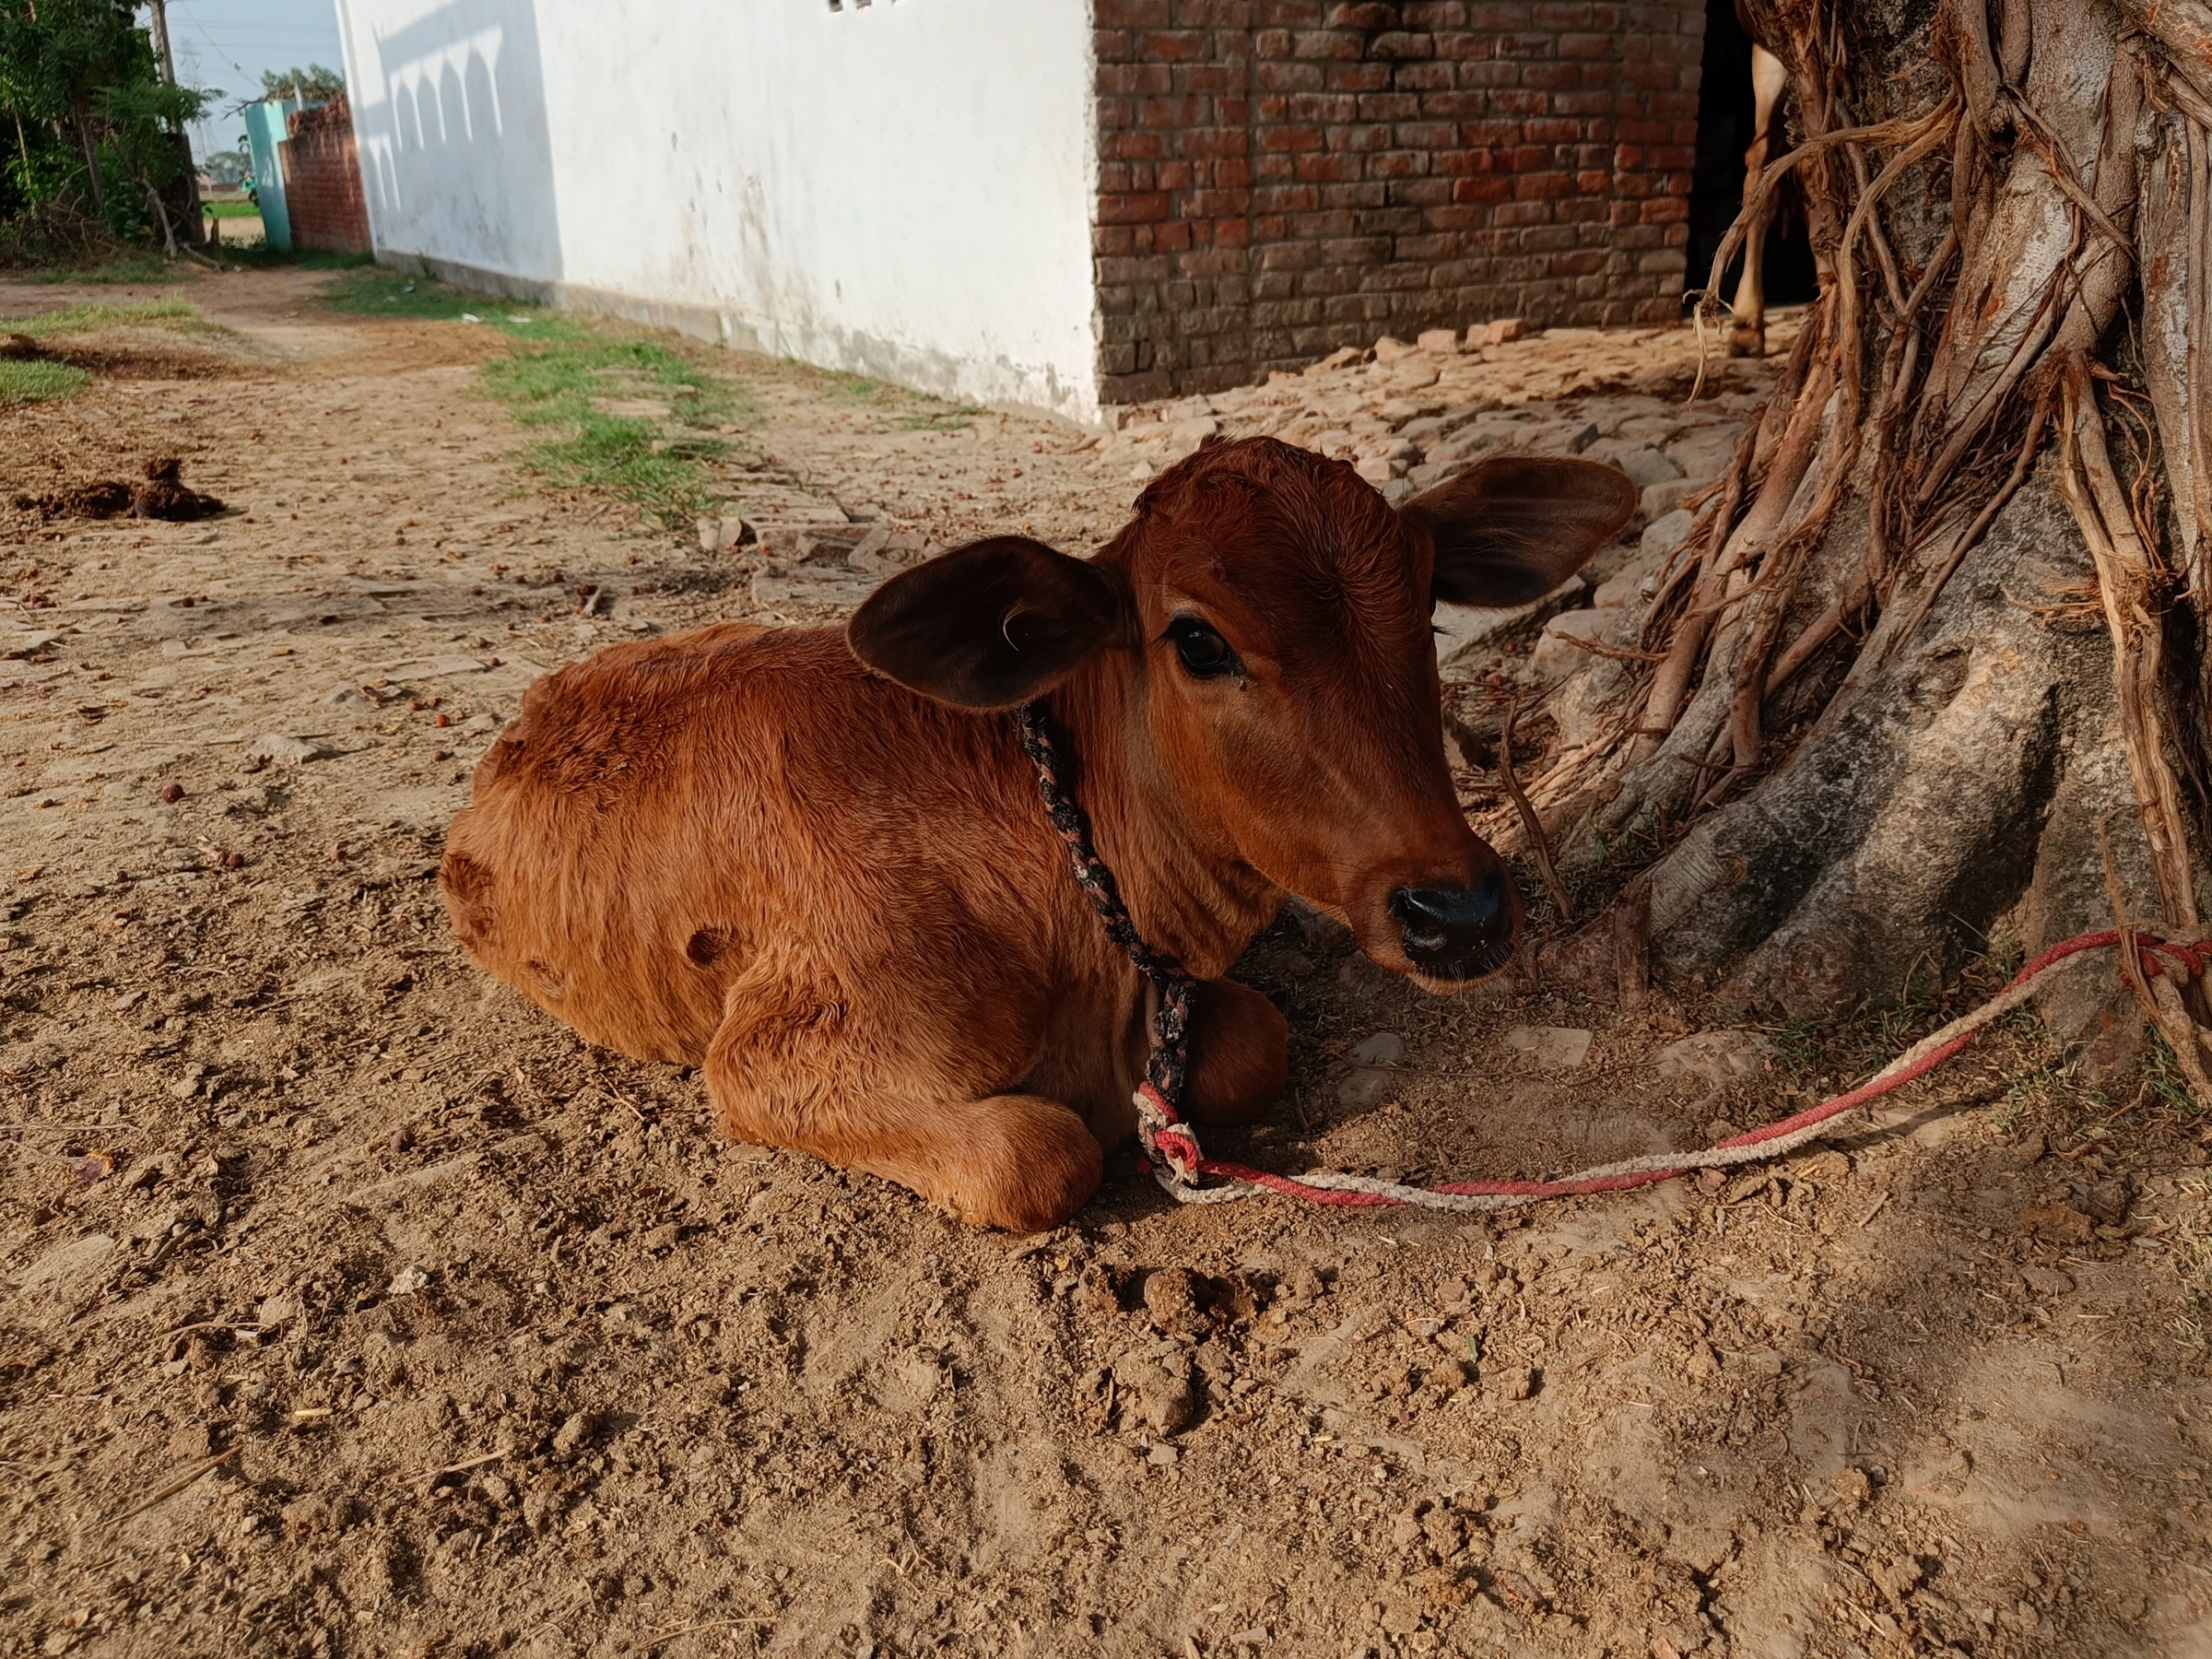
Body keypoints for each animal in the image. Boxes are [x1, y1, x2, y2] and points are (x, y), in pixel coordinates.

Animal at [440, 438, 1634, 1232]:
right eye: (1197, 640)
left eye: (1429, 609)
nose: (1459, 911)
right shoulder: (768, 1051)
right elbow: (1039, 1155)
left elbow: (1256, 1041)